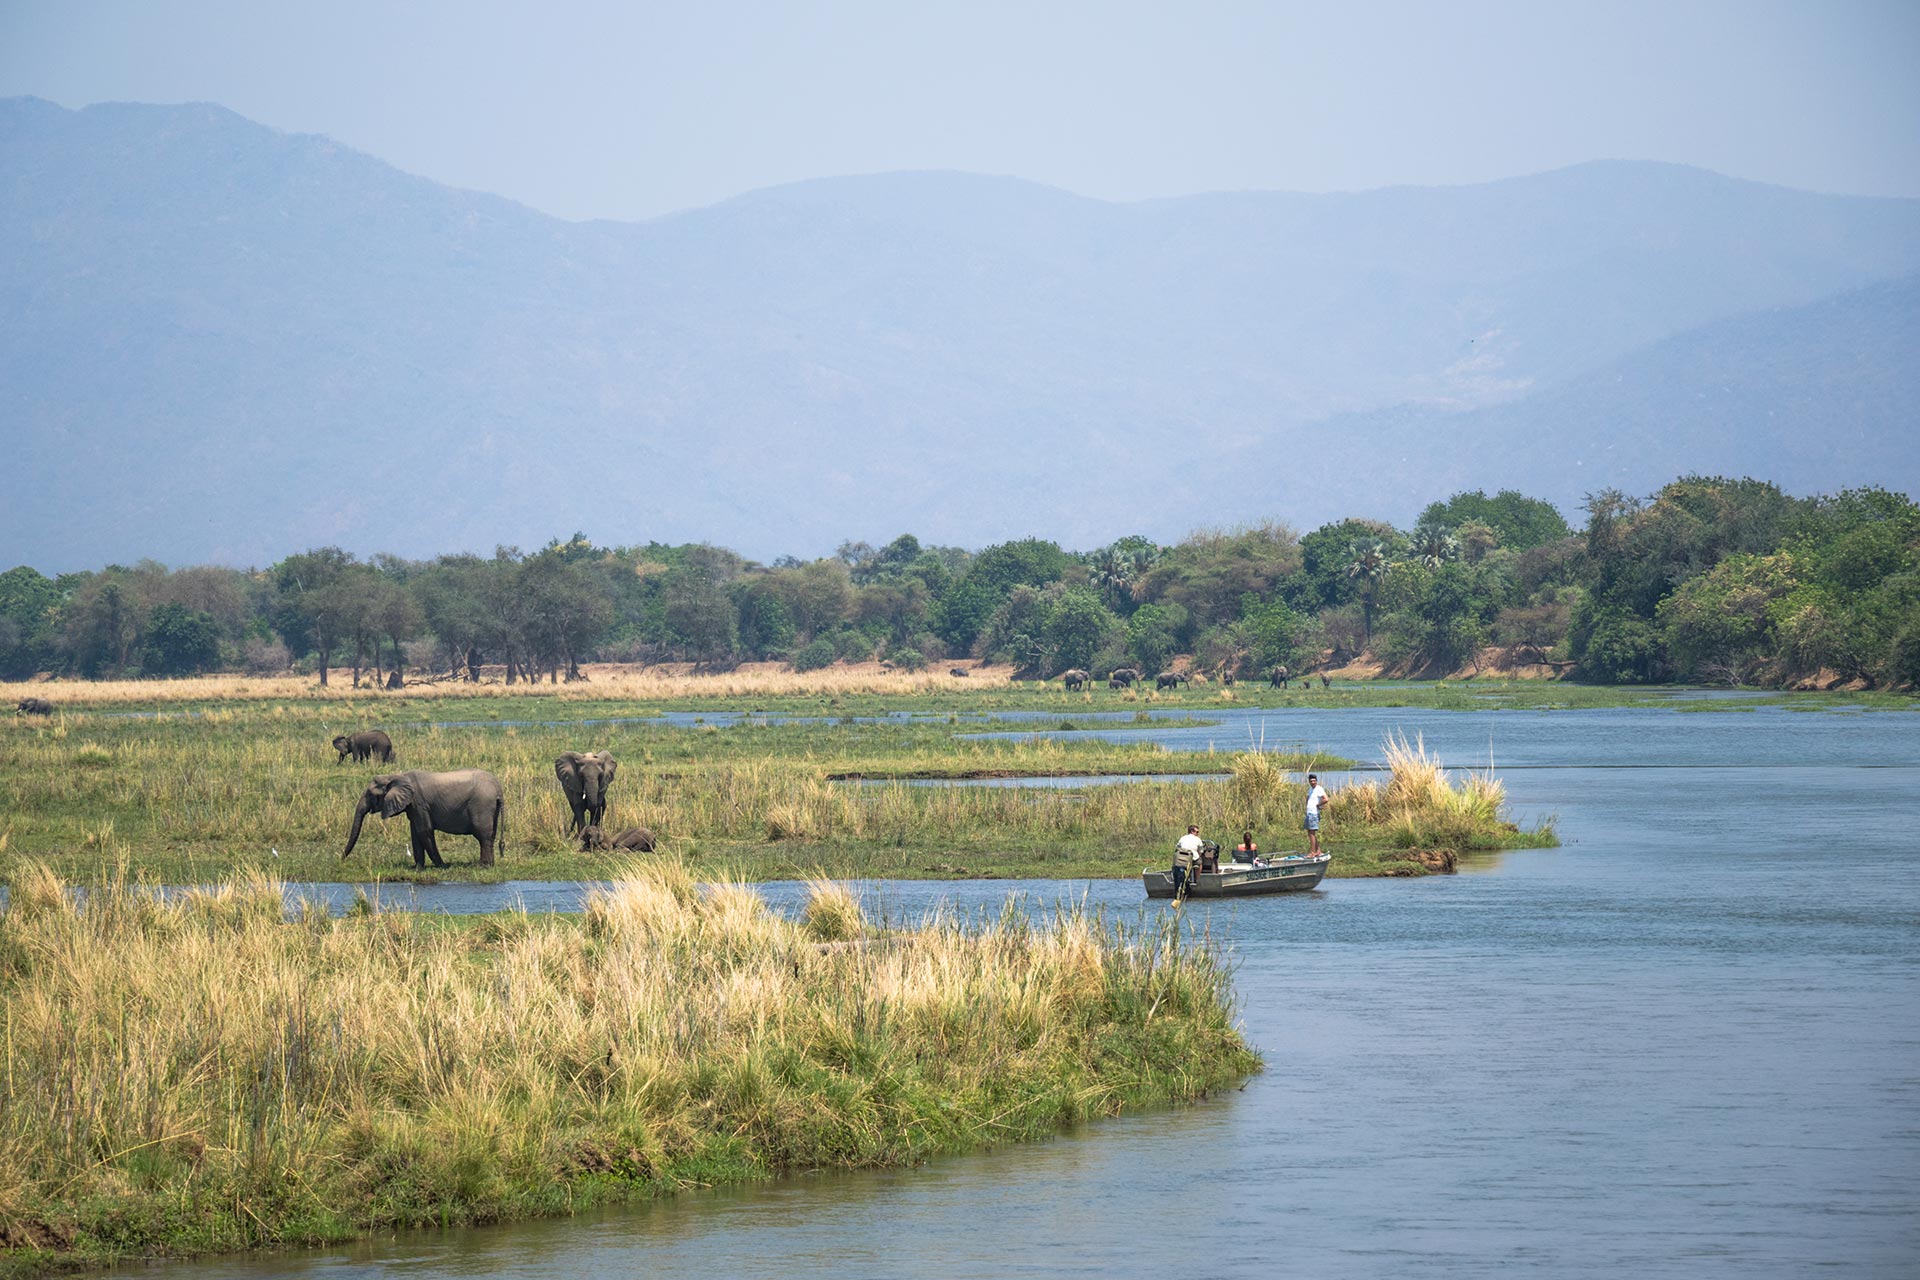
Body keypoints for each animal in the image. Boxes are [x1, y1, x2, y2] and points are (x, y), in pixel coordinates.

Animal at [341, 771, 503, 871]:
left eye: (369, 794)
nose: (341, 860)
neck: (396, 776)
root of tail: (498, 789)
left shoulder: (419, 803)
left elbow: (424, 831)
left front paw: (442, 866)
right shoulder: (412, 806)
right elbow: (415, 834)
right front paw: (417, 868)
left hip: (482, 805)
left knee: (483, 836)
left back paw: (482, 866)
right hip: (491, 809)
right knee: (491, 835)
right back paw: (490, 865)